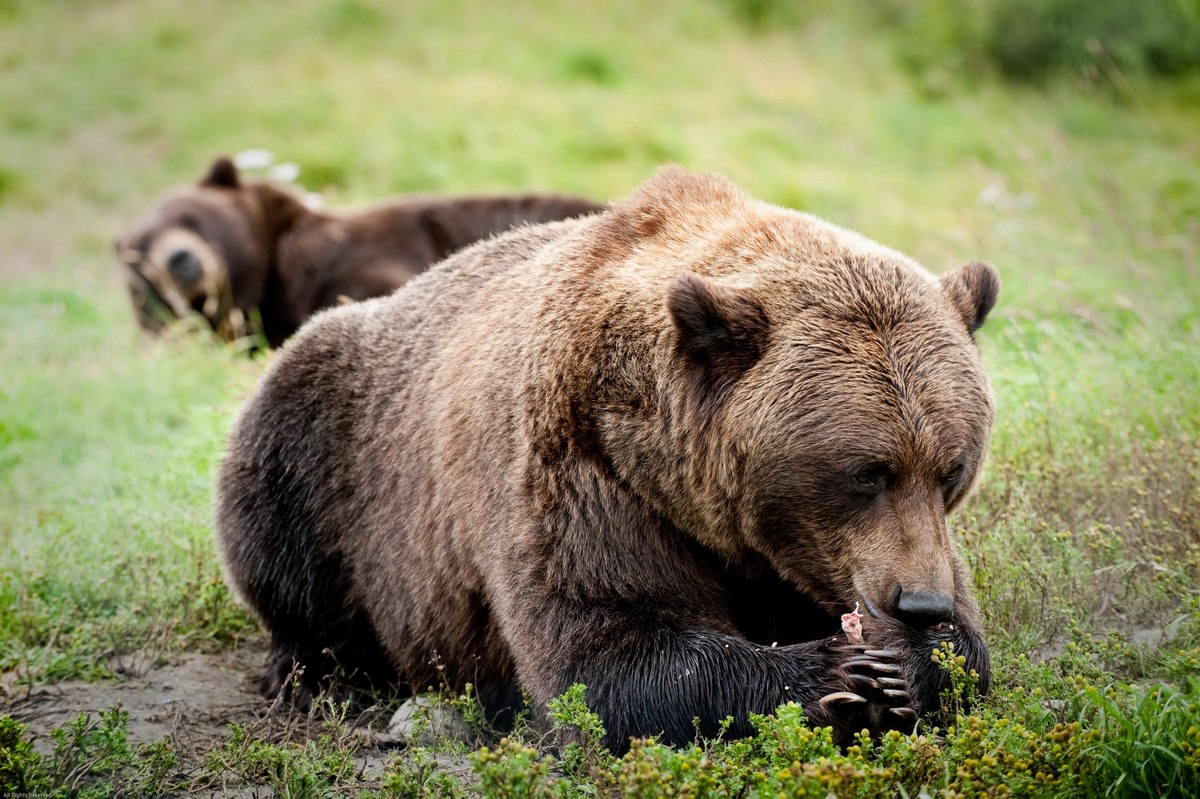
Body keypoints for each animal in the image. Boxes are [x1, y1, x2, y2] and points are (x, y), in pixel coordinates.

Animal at [218, 163, 1003, 748]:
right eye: (866, 472)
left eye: (951, 470)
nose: (919, 601)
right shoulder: (576, 464)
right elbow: (609, 652)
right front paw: (836, 670)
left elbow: (971, 647)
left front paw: (906, 664)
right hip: (341, 440)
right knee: (277, 521)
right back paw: (315, 673)